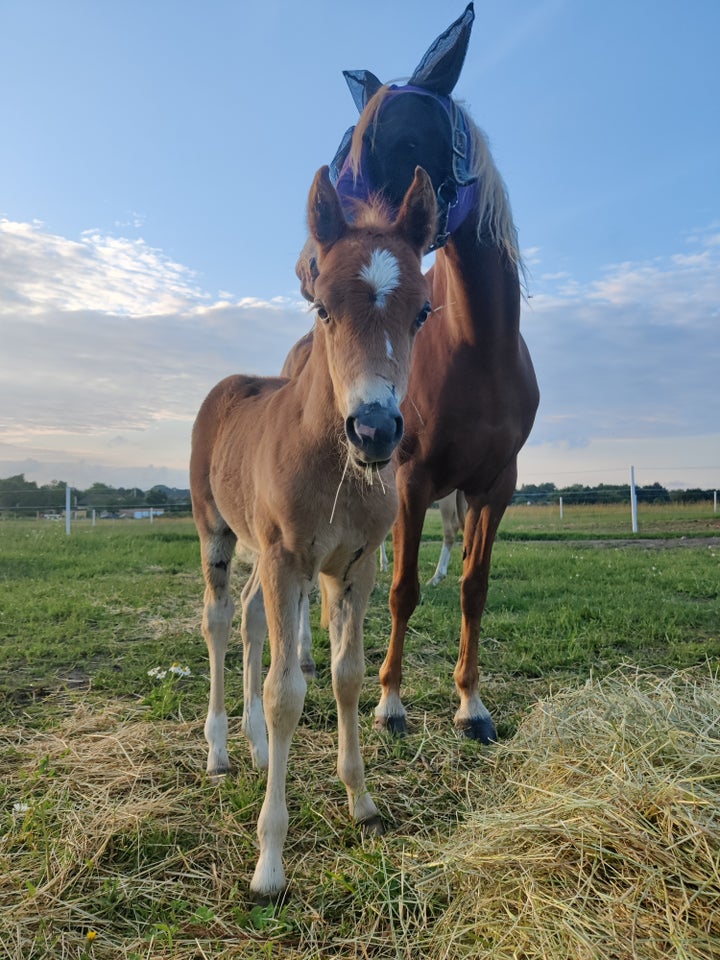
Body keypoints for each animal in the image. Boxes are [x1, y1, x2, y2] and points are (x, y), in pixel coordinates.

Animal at [190, 167, 434, 900]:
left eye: (422, 312)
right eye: (322, 307)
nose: (375, 429)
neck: (333, 465)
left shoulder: (356, 565)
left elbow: (347, 676)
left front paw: (361, 802)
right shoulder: (286, 561)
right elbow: (286, 694)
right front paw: (269, 863)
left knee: (247, 618)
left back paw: (253, 747)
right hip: (219, 533)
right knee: (219, 620)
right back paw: (219, 747)